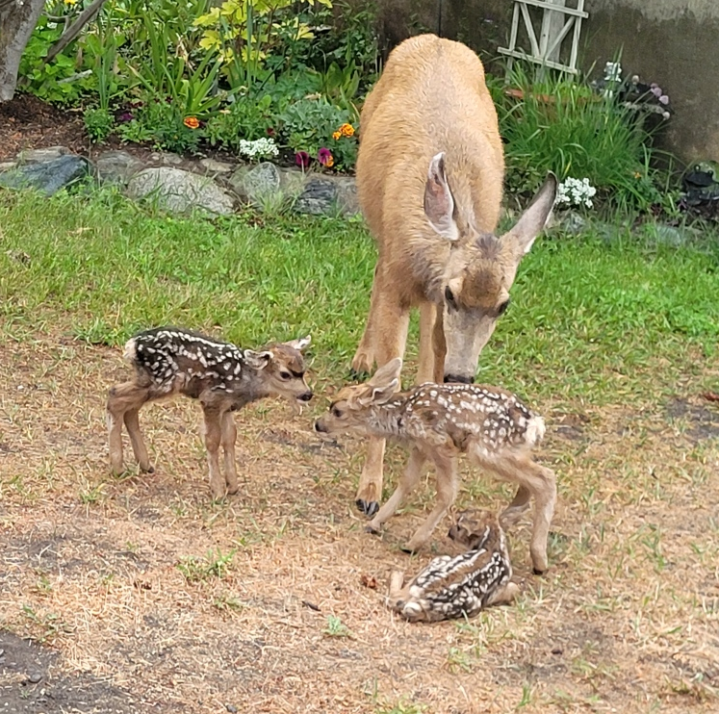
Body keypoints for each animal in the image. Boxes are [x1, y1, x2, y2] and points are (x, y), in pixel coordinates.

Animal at [352, 33, 560, 516]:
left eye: (503, 305)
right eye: (453, 293)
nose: (463, 377)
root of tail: (437, 38)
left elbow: (433, 359)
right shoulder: (401, 282)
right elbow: (389, 376)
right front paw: (369, 491)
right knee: (376, 272)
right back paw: (361, 359)